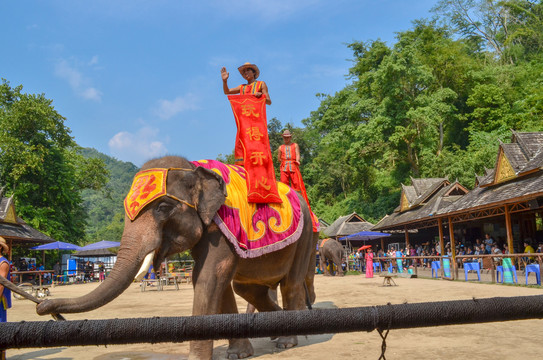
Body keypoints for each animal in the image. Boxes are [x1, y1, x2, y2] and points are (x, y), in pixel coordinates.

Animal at [37, 155, 318, 360]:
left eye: (162, 208)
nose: (42, 306)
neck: (193, 168)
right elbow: (217, 282)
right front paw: (238, 354)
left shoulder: (220, 225)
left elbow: (209, 276)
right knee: (247, 288)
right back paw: (275, 332)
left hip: (305, 238)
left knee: (290, 284)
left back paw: (286, 342)